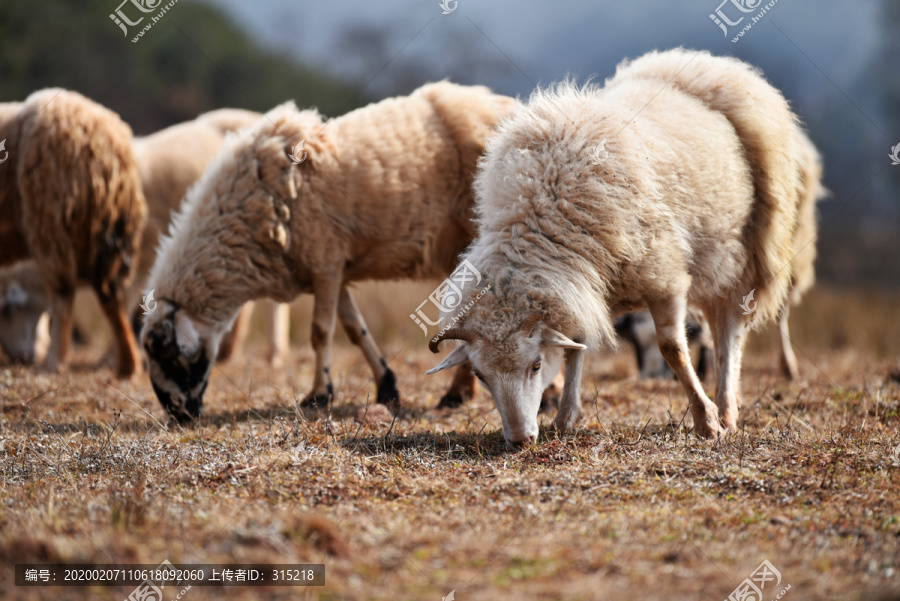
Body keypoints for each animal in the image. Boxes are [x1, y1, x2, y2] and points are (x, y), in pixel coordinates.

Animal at [0, 89, 146, 378]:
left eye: (8, 311)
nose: (20, 358)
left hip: (50, 224)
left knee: (62, 297)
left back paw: (54, 363)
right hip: (110, 237)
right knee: (111, 296)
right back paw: (127, 365)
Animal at [143, 81, 516, 422]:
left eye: (168, 355)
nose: (179, 416)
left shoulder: (324, 261)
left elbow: (320, 332)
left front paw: (319, 395)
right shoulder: (332, 269)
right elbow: (354, 328)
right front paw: (386, 386)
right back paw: (459, 393)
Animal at [428, 49, 800, 446]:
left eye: (535, 365)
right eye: (480, 375)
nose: (520, 440)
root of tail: (702, 64)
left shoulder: (665, 277)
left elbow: (672, 348)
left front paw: (705, 420)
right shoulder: (582, 289)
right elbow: (576, 346)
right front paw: (566, 417)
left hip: (744, 253)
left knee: (730, 332)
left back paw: (727, 409)